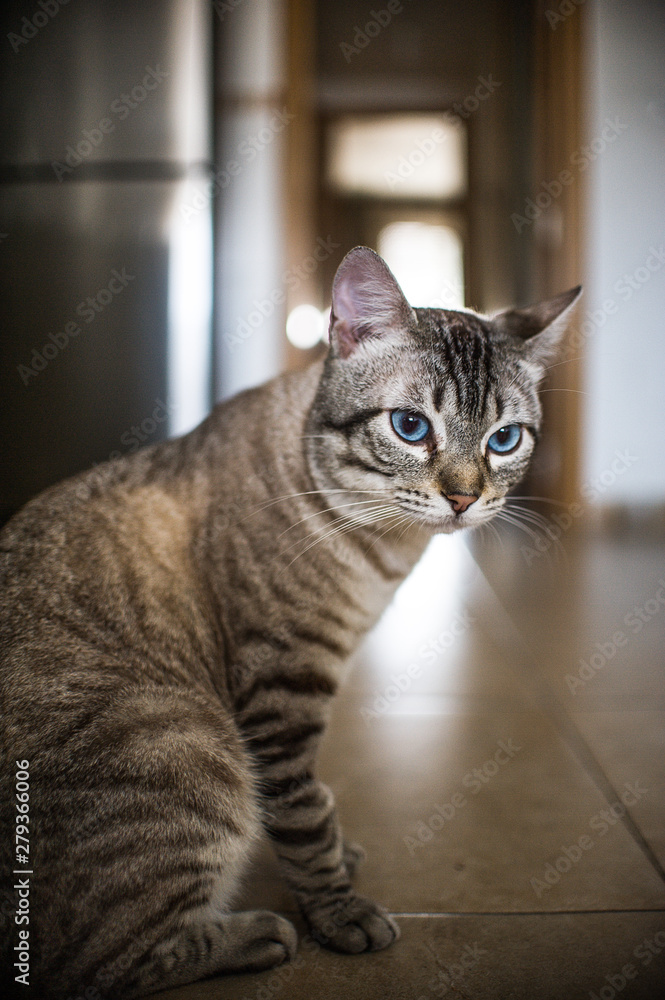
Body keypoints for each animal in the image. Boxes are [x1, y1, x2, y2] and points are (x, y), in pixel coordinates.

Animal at [0, 246, 580, 996]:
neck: (385, 551)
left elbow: (312, 806)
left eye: (504, 440)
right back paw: (256, 935)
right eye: (411, 427)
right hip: (189, 741)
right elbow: (306, 814)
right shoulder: (282, 690)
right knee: (97, 963)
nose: (462, 499)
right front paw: (338, 913)